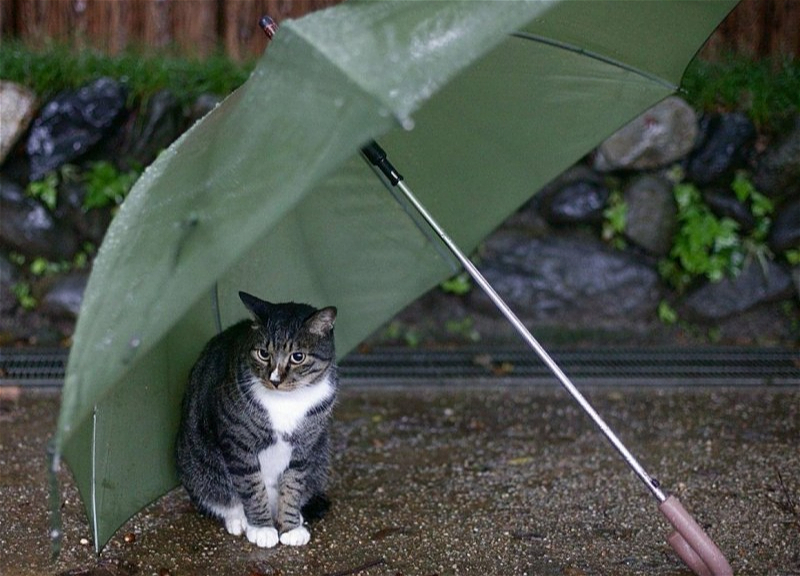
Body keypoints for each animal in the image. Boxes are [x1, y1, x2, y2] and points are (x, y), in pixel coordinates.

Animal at [175, 290, 338, 548]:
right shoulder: (238, 444)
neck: (286, 401)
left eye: (298, 357)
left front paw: (291, 527)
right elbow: (251, 486)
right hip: (198, 465)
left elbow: (293, 484)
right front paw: (262, 528)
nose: (275, 380)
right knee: (220, 496)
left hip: (320, 455)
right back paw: (239, 520)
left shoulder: (305, 446)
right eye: (263, 353)